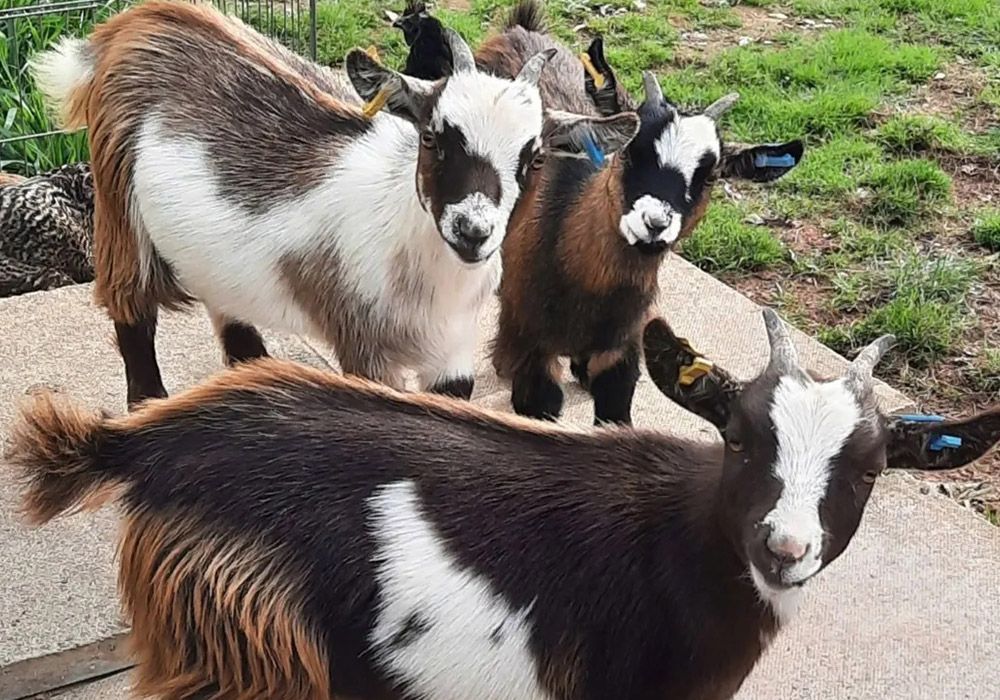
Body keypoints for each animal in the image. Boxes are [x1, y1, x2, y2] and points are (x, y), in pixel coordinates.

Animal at [8, 308, 1000, 700]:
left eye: (868, 470)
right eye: (743, 439)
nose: (785, 547)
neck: (690, 548)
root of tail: (147, 443)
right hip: (245, 651)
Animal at [28, 0, 638, 408]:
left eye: (534, 158)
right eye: (433, 137)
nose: (472, 230)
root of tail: (130, 24)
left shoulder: (451, 352)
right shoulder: (364, 347)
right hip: (117, 200)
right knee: (131, 309)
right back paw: (148, 403)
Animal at [394, 0, 805, 425]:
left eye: (710, 175)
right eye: (630, 151)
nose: (654, 224)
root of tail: (521, 27)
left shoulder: (622, 351)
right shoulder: (535, 351)